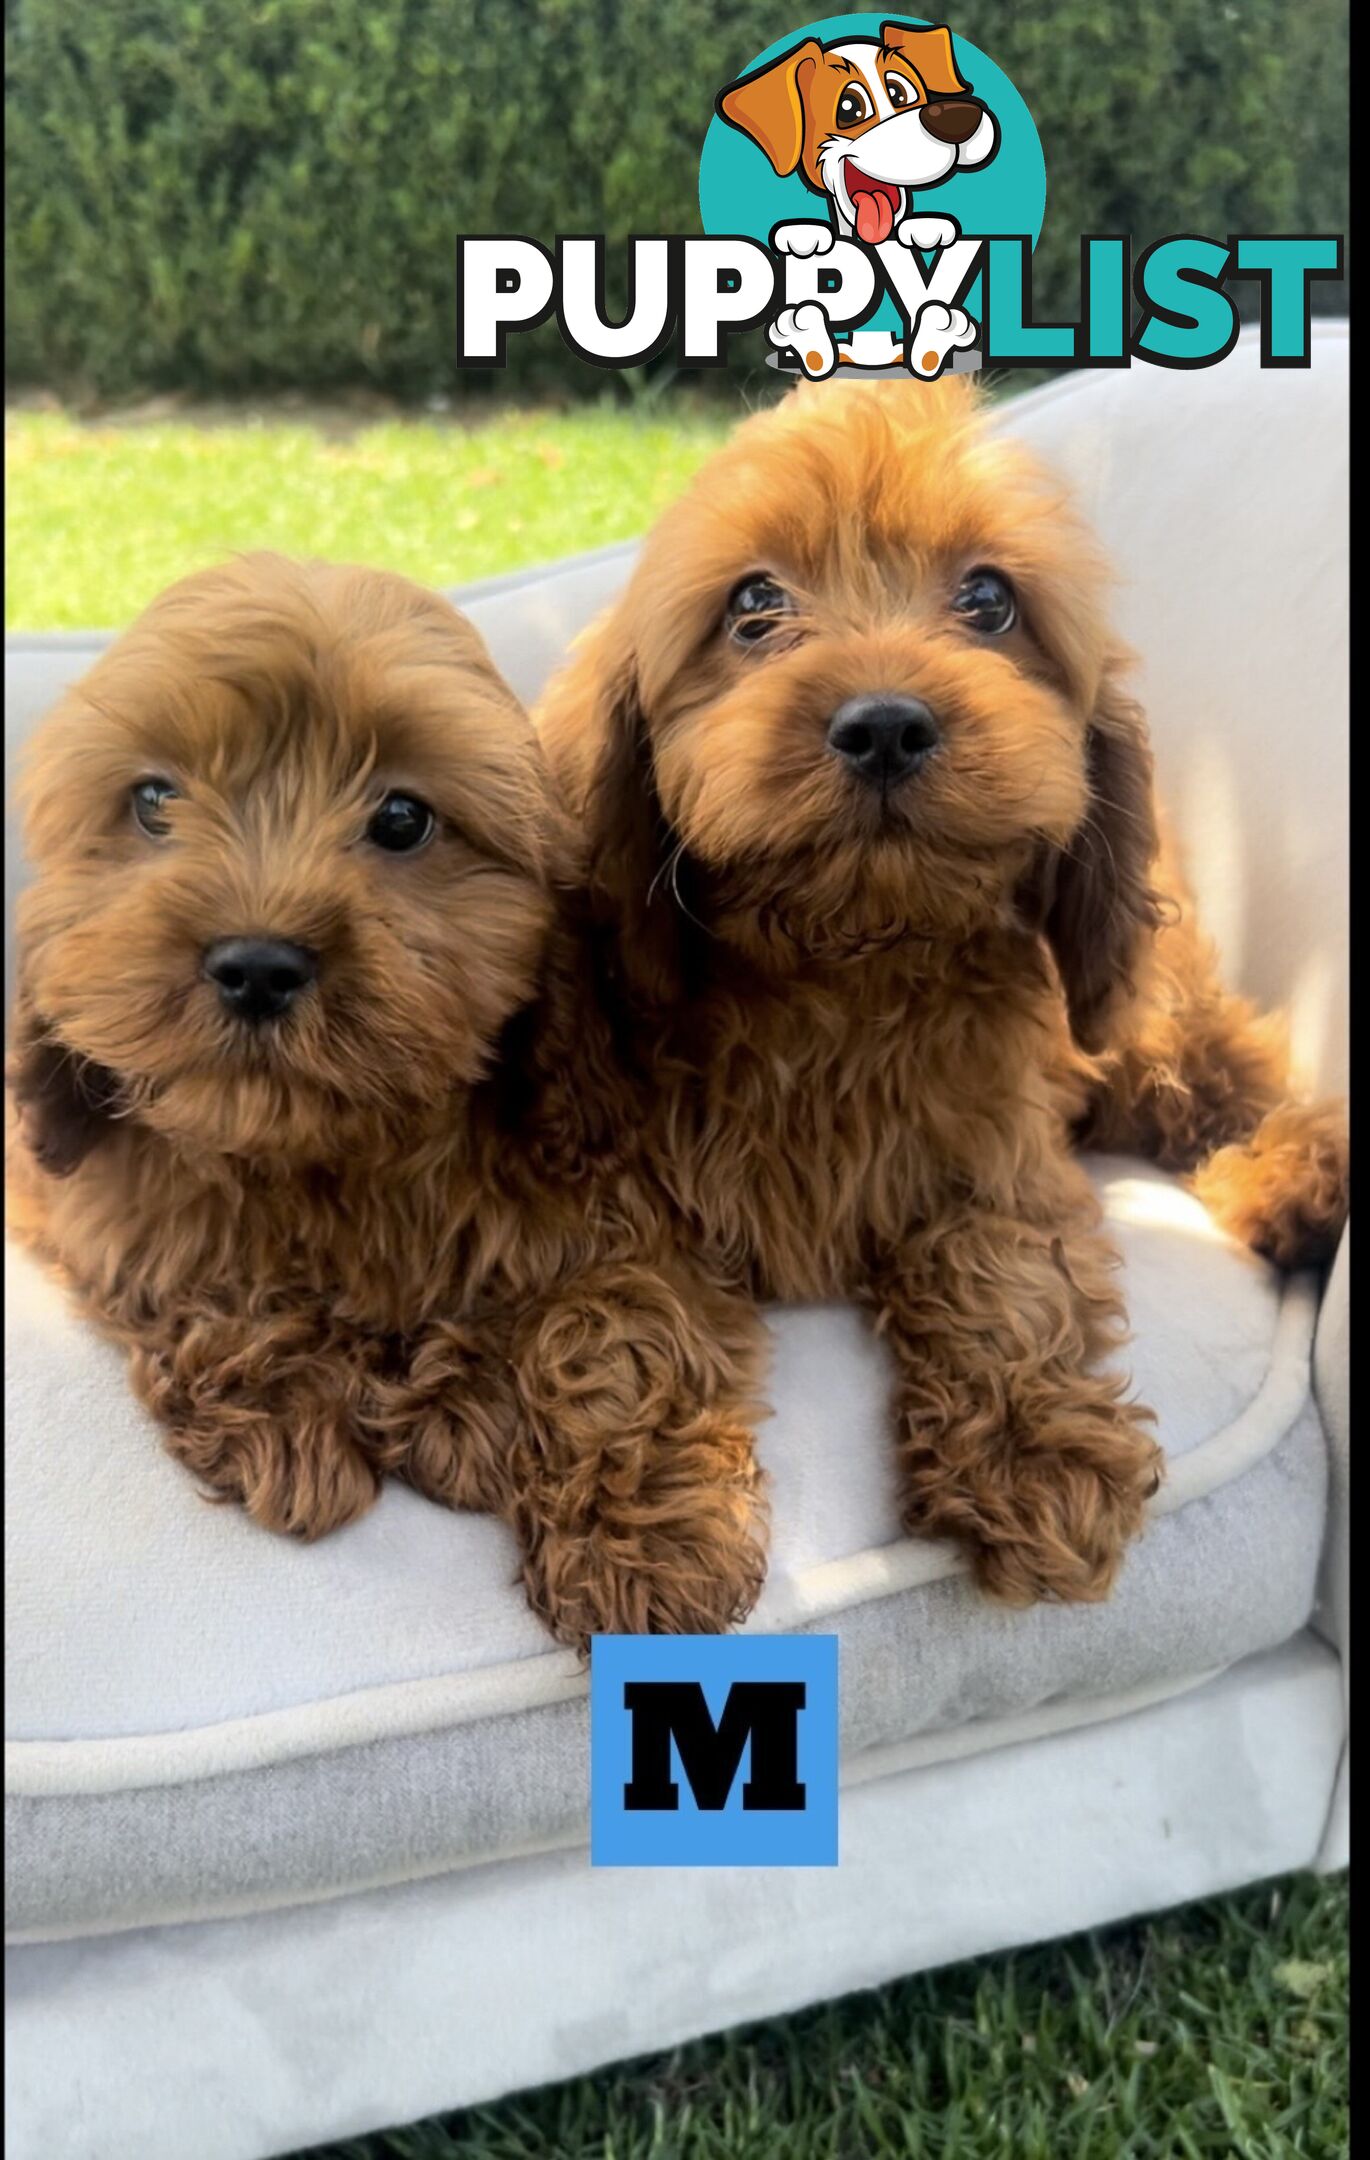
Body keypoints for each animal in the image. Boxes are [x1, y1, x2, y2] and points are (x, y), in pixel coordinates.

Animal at [5, 552, 764, 1632]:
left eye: (403, 819)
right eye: (153, 801)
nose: (257, 965)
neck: (331, 1154)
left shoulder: (624, 1205)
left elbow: (616, 1337)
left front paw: (648, 1551)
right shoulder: (95, 1203)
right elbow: (199, 1277)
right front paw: (296, 1414)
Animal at [535, 380, 1348, 1607]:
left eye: (987, 600)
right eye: (753, 605)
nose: (883, 724)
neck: (846, 959)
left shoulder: (1004, 1150)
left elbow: (1004, 1269)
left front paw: (1032, 1448)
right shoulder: (603, 1203)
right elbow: (623, 1334)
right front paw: (647, 1528)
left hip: (1138, 1013)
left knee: (1222, 1070)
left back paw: (1300, 1176)